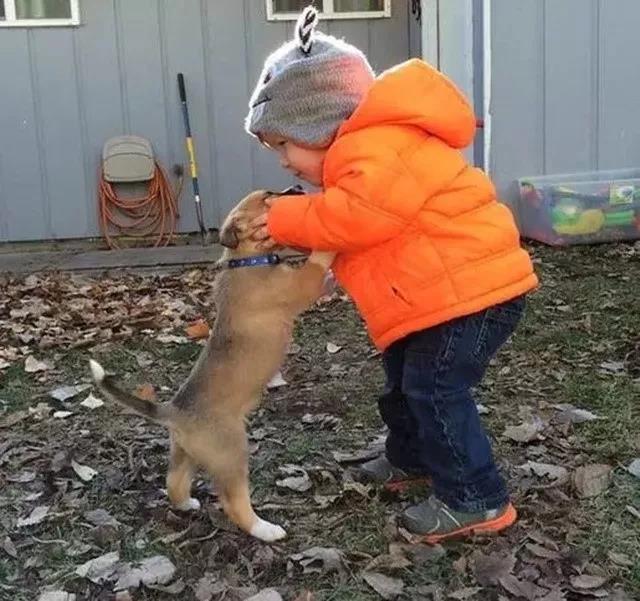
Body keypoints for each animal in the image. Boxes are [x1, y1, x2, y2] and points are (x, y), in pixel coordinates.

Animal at [90, 189, 335, 542]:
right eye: (267, 197)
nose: (299, 190)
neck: (247, 259)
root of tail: (175, 411)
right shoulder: (301, 284)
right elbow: (317, 262)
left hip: (187, 453)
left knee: (174, 482)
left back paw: (187, 504)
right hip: (232, 452)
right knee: (234, 503)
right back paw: (266, 529)